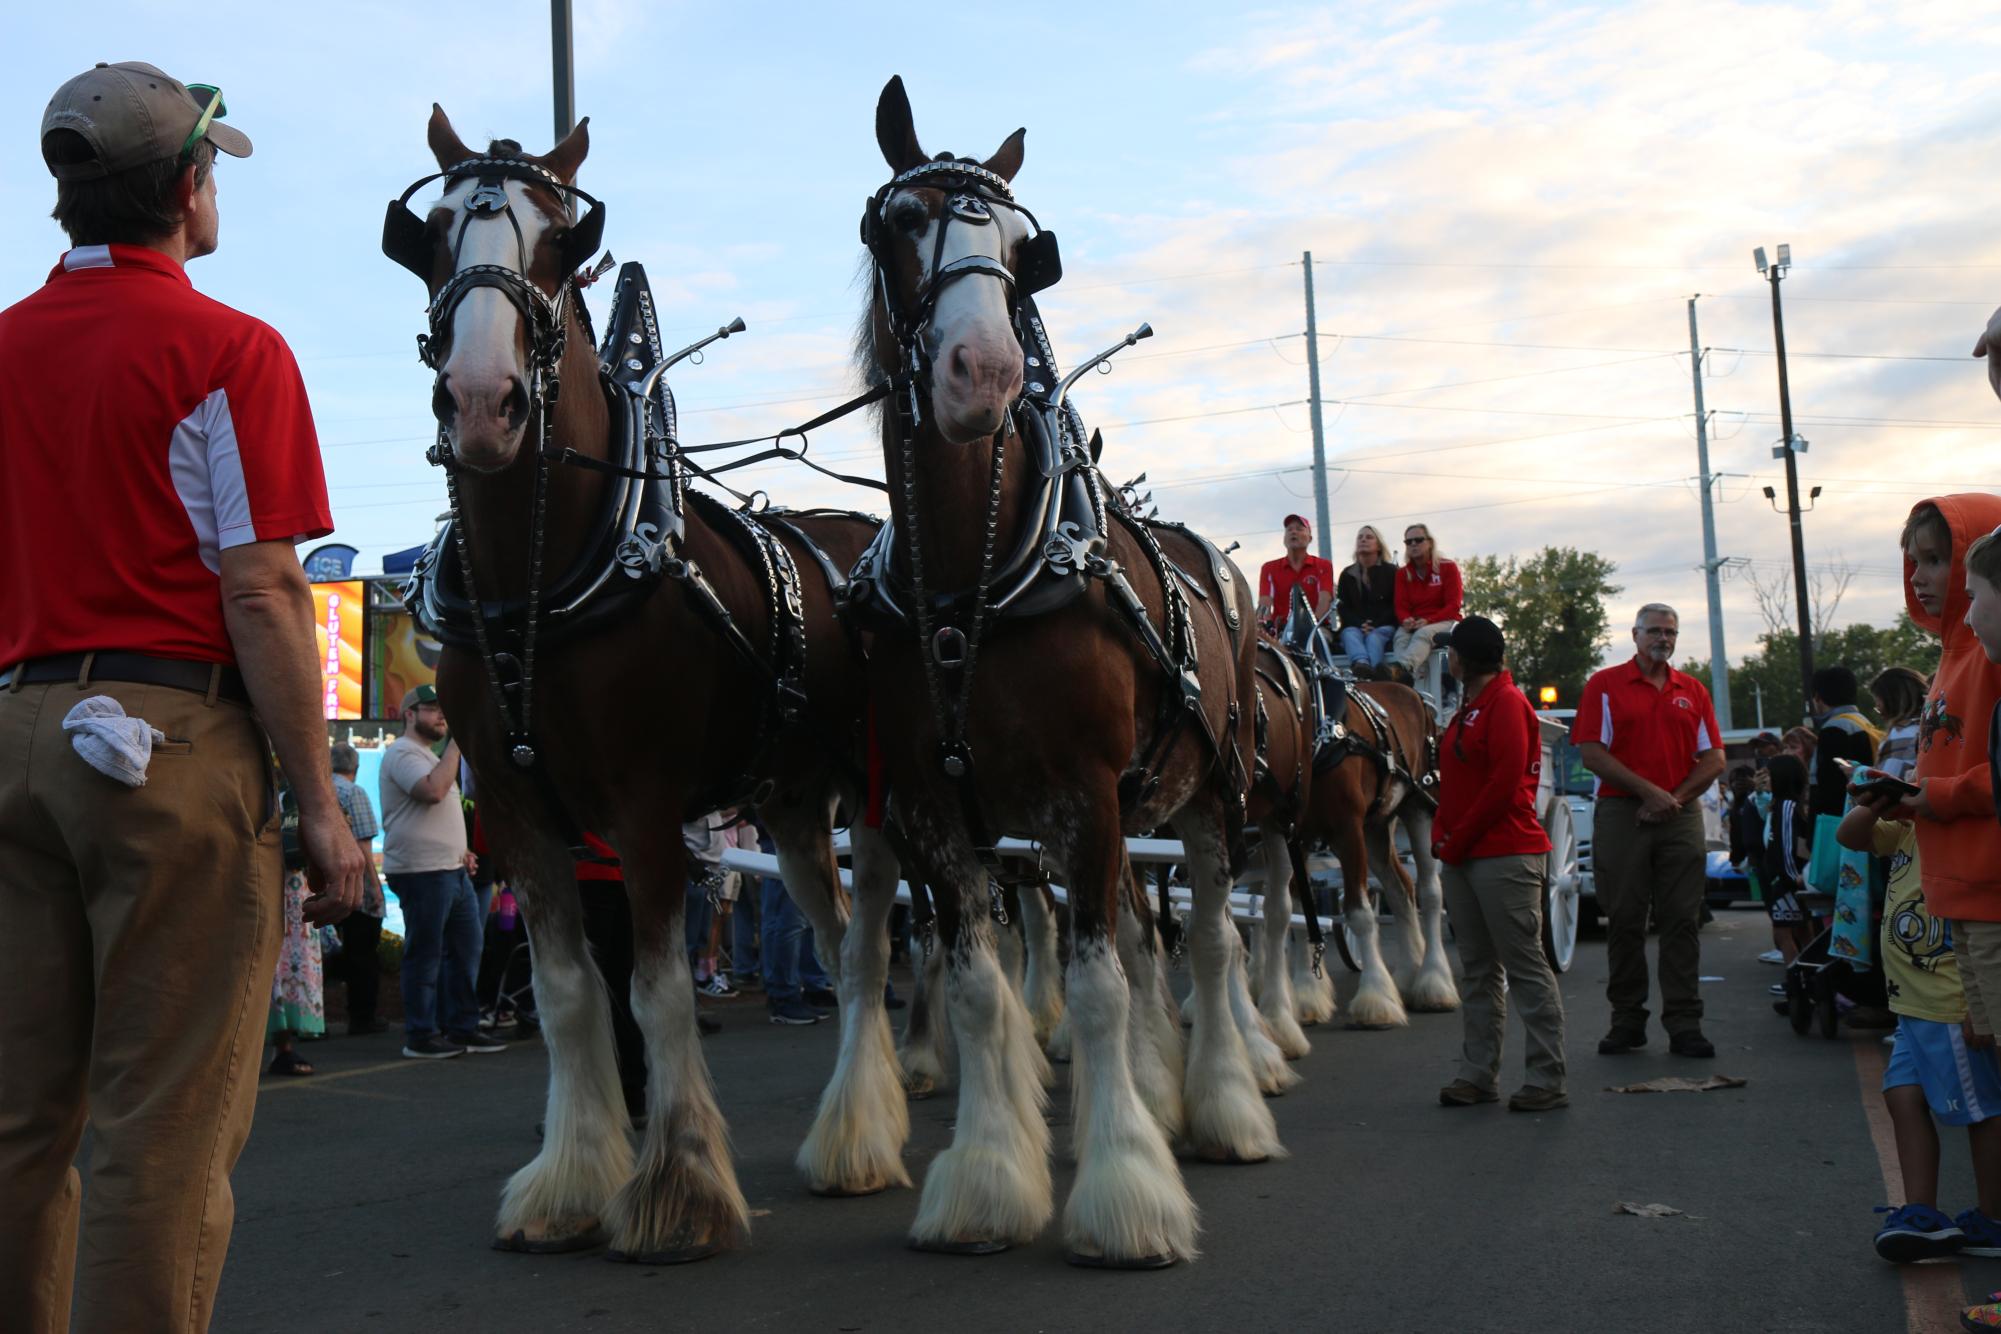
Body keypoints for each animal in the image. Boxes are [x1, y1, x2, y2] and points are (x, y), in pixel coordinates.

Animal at [390, 112, 916, 1264]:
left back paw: (859, 1135)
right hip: (790, 803)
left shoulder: (642, 805)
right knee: (831, 931)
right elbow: (568, 993)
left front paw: (678, 1191)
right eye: (430, 238)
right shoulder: (516, 810)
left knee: (867, 945)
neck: (541, 579)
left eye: (560, 241)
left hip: (875, 792)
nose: (483, 404)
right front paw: (569, 1181)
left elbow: (656, 989)